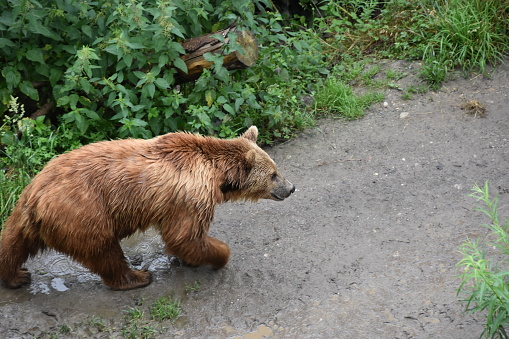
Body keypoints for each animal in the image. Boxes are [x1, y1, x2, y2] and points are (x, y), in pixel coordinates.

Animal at [0, 126, 294, 290]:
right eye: (273, 175)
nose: (291, 188)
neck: (215, 175)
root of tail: (37, 196)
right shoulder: (189, 198)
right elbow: (185, 236)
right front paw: (220, 255)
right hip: (84, 212)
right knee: (104, 251)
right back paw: (137, 277)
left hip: (26, 214)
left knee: (12, 244)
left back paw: (16, 276)